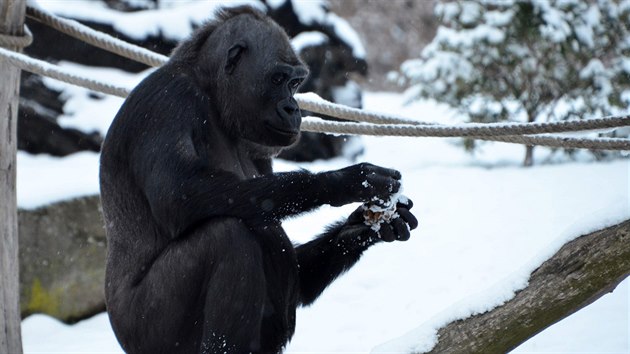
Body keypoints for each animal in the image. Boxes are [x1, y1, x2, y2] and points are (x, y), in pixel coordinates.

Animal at [100, 5, 420, 354]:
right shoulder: (166, 102)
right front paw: (343, 181)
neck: (212, 96)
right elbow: (178, 195)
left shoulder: (260, 148)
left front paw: (360, 227)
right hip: (147, 335)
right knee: (226, 235)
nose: (293, 108)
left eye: (295, 83)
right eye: (278, 79)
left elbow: (298, 270)